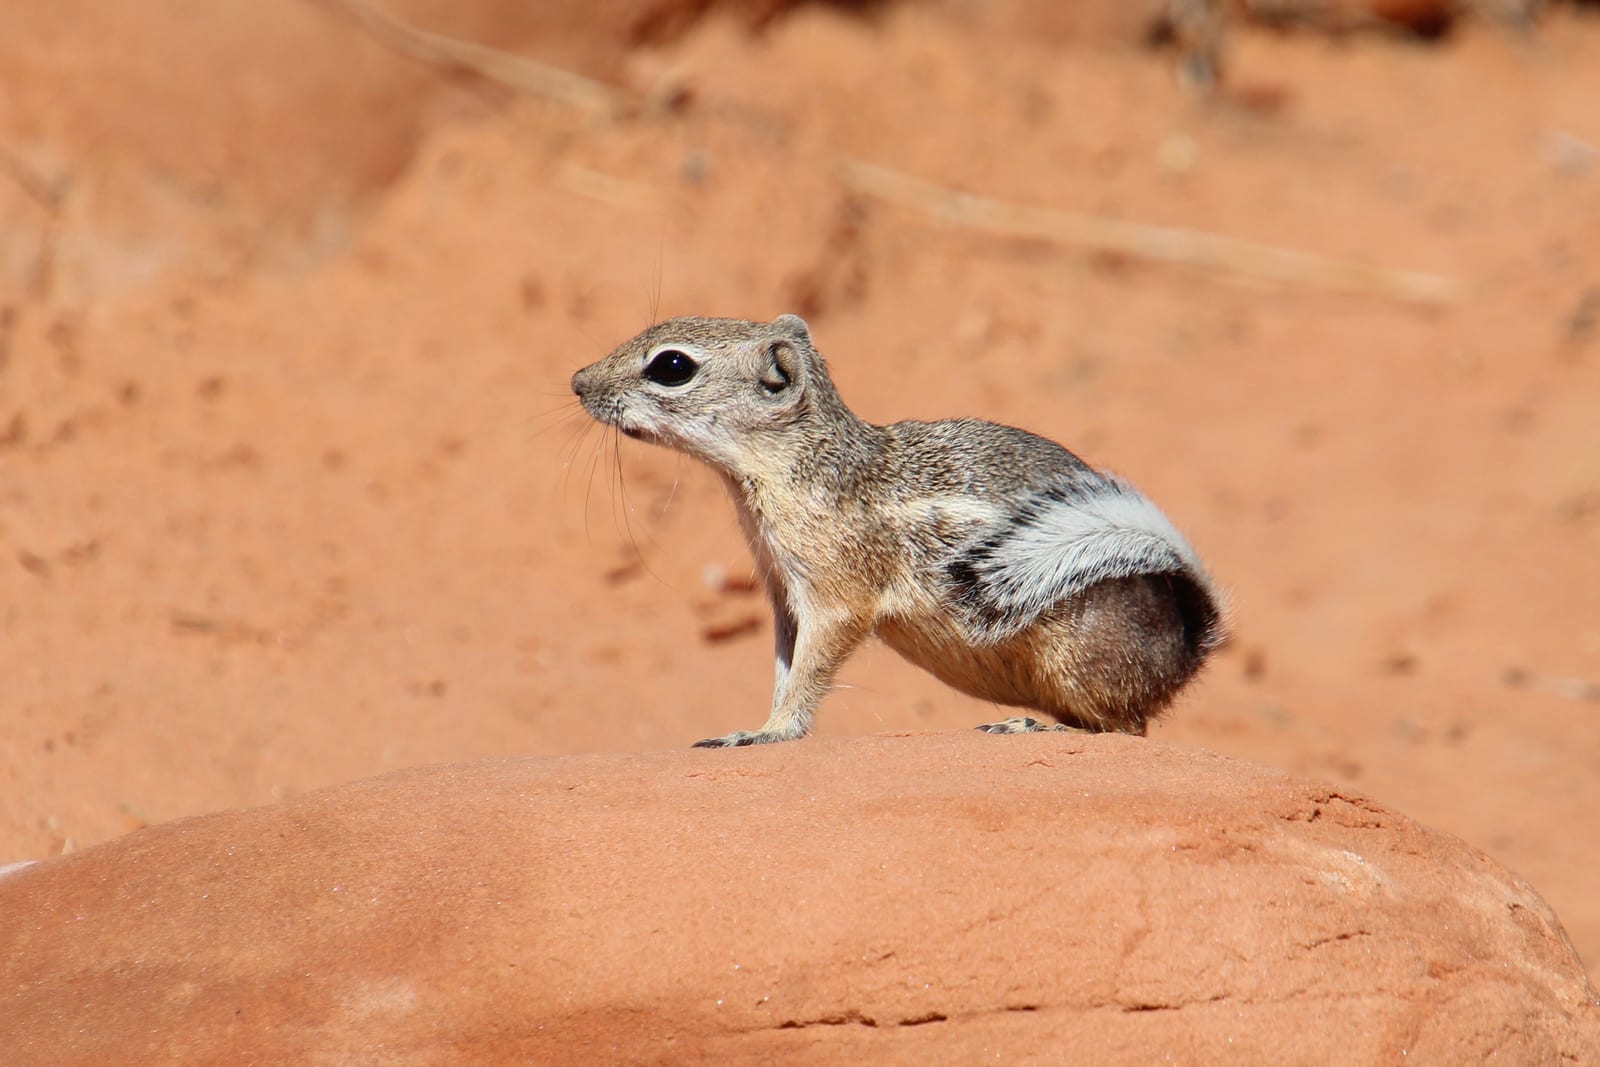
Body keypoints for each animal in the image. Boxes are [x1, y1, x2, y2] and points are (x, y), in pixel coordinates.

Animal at [571, 314, 1224, 748]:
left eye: (672, 366)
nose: (578, 381)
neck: (806, 463)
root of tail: (1185, 650)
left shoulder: (837, 596)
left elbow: (811, 671)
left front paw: (771, 732)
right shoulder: (785, 598)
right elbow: (786, 667)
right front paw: (765, 720)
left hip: (1077, 662)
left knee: (1125, 728)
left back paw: (1028, 724)